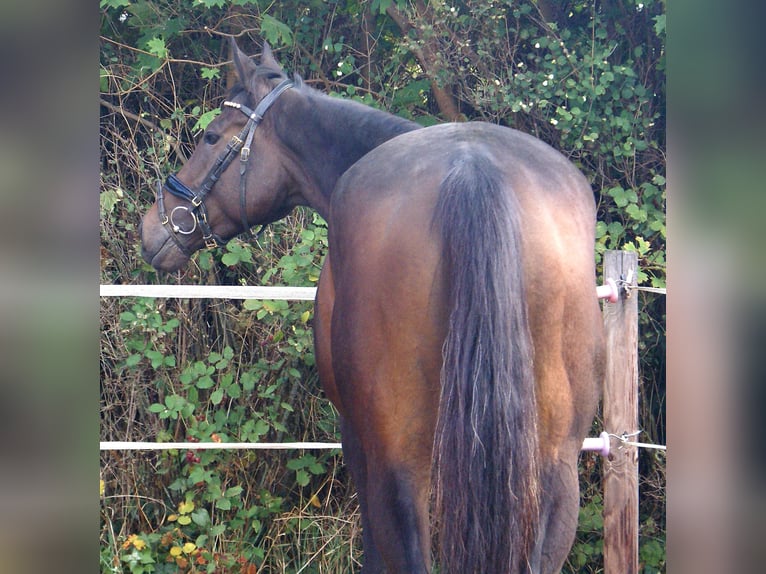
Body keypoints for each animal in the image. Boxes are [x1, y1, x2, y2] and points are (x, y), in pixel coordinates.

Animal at [140, 40, 604, 573]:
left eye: (212, 137)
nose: (152, 225)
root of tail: (474, 169)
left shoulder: (357, 439)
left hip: (398, 465)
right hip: (554, 472)